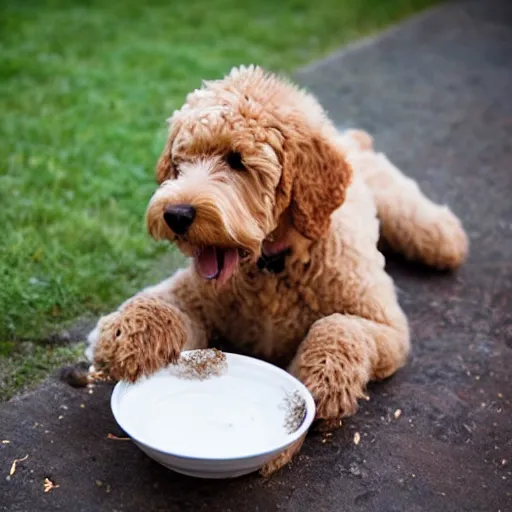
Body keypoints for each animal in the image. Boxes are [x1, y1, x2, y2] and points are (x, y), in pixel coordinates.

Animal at [87, 65, 468, 476]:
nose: (176, 215)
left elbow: (339, 325)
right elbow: (160, 304)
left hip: (405, 212)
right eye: (180, 162)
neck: (273, 264)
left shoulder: (387, 327)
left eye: (237, 160)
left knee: (436, 233)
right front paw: (122, 335)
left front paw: (323, 380)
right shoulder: (197, 298)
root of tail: (347, 138)